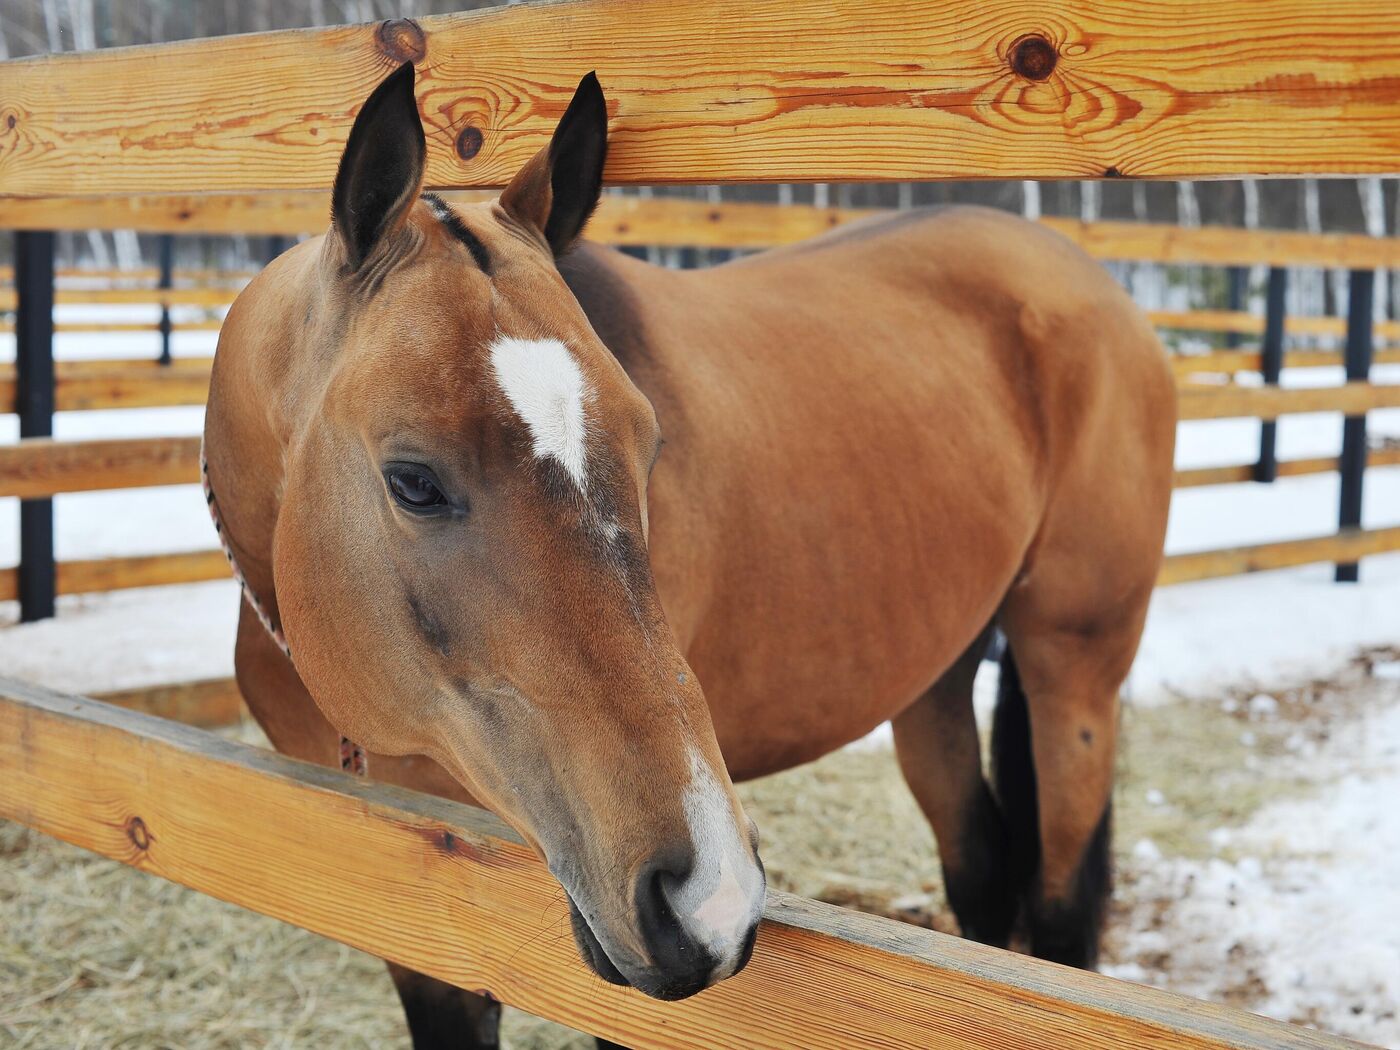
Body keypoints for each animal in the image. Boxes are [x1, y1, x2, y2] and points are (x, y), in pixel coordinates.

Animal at [203, 65, 1176, 1050]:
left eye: (651, 443)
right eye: (412, 481)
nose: (710, 897)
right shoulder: (405, 884)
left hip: (1073, 671)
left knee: (1058, 905)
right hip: (936, 676)